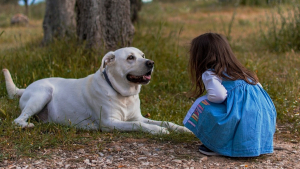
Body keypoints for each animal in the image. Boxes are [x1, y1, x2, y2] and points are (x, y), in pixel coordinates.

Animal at [2, 47, 190, 135]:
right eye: (130, 57)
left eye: (142, 55)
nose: (151, 62)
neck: (123, 94)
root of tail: (25, 88)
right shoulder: (109, 122)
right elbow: (139, 125)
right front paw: (158, 131)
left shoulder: (138, 116)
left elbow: (165, 122)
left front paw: (182, 129)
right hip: (43, 93)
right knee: (17, 120)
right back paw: (27, 125)